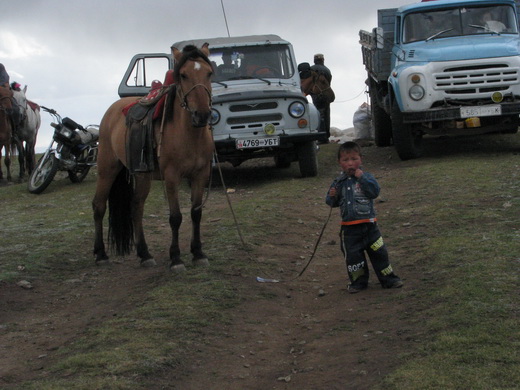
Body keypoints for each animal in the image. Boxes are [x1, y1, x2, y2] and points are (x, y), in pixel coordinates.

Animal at [92, 42, 214, 272]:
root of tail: (111, 112)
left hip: (142, 175)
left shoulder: (200, 175)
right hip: (106, 170)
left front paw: (198, 253)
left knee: (136, 207)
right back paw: (101, 254)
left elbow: (196, 213)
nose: (202, 115)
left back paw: (144, 254)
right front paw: (176, 258)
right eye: (183, 75)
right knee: (98, 206)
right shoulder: (172, 177)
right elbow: (175, 217)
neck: (188, 134)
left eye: (209, 73)